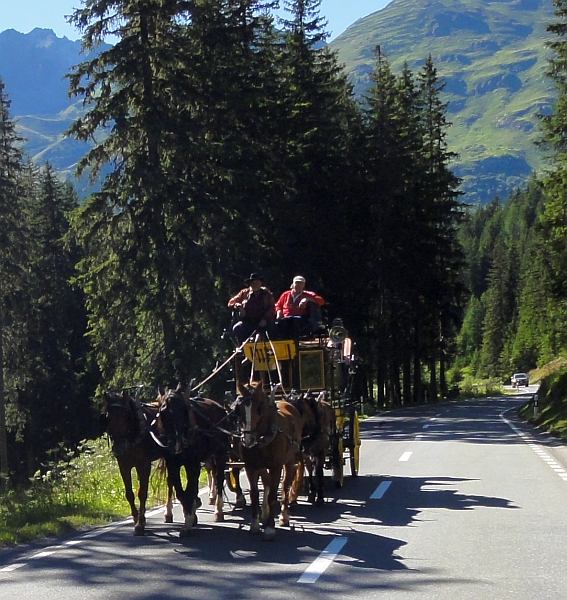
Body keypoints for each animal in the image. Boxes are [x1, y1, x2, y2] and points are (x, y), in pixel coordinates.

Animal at [100, 392, 174, 536]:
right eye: (107, 416)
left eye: (126, 415)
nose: (119, 448)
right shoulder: (123, 466)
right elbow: (129, 494)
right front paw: (136, 520)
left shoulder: (143, 464)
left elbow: (142, 493)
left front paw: (140, 525)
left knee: (170, 481)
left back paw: (168, 513)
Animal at [155, 386, 231, 536]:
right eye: (162, 412)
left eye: (182, 410)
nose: (176, 443)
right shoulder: (172, 464)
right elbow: (180, 491)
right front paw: (189, 514)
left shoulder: (192, 464)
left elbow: (190, 489)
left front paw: (189, 519)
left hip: (219, 455)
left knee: (219, 479)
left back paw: (218, 511)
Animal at [233, 382, 304, 540]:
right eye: (238, 408)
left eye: (260, 407)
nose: (248, 440)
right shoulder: (251, 466)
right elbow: (254, 495)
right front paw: (254, 525)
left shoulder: (276, 466)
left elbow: (272, 495)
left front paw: (270, 529)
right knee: (267, 482)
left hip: (290, 461)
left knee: (285, 485)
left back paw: (284, 516)